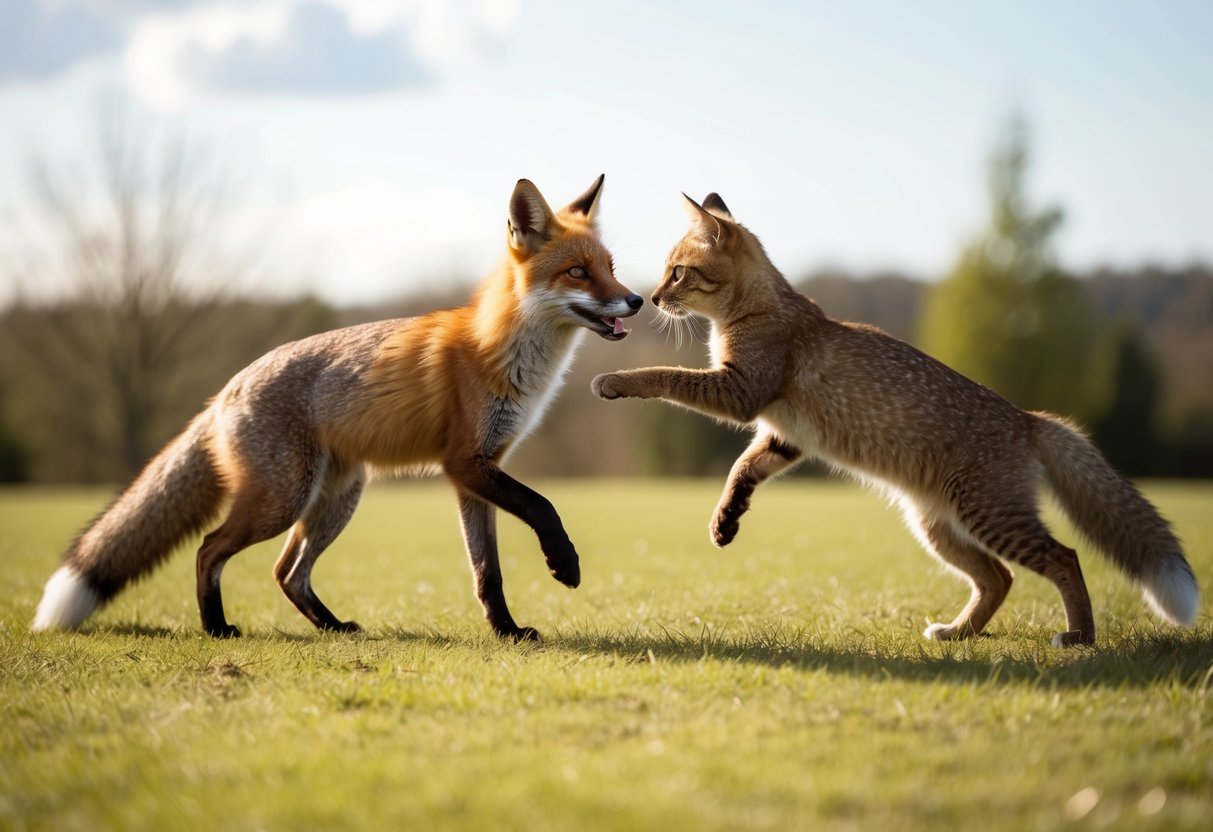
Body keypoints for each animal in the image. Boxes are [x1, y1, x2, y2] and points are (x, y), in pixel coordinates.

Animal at [32, 174, 643, 641]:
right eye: (578, 272)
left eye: (611, 267)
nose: (637, 300)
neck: (501, 354)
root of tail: (225, 390)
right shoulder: (465, 464)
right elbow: (543, 506)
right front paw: (564, 563)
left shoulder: (478, 473)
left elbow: (486, 572)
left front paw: (507, 632)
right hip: (284, 499)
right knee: (210, 550)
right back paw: (217, 629)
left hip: (335, 498)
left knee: (286, 572)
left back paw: (331, 627)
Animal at [592, 191, 1199, 647]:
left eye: (678, 273)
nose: (650, 298)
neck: (759, 311)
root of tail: (1028, 418)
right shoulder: (784, 436)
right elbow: (741, 470)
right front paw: (726, 520)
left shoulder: (739, 393)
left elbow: (663, 376)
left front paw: (614, 381)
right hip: (939, 529)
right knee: (999, 579)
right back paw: (958, 632)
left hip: (992, 519)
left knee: (1065, 558)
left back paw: (1080, 638)